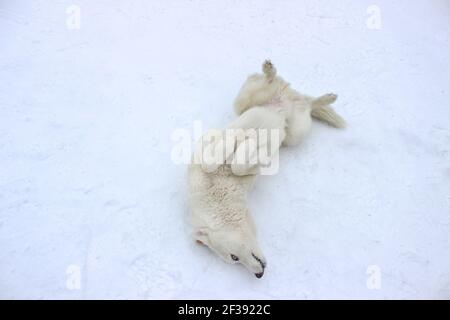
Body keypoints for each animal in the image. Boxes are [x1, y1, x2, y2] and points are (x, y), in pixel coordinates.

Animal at [188, 60, 346, 278]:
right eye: (234, 260)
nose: (259, 274)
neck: (216, 193)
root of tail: (288, 98)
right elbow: (241, 162)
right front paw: (252, 152)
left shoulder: (205, 150)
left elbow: (221, 158)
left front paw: (239, 147)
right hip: (295, 130)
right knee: (306, 106)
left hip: (249, 103)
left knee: (266, 88)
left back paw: (273, 71)